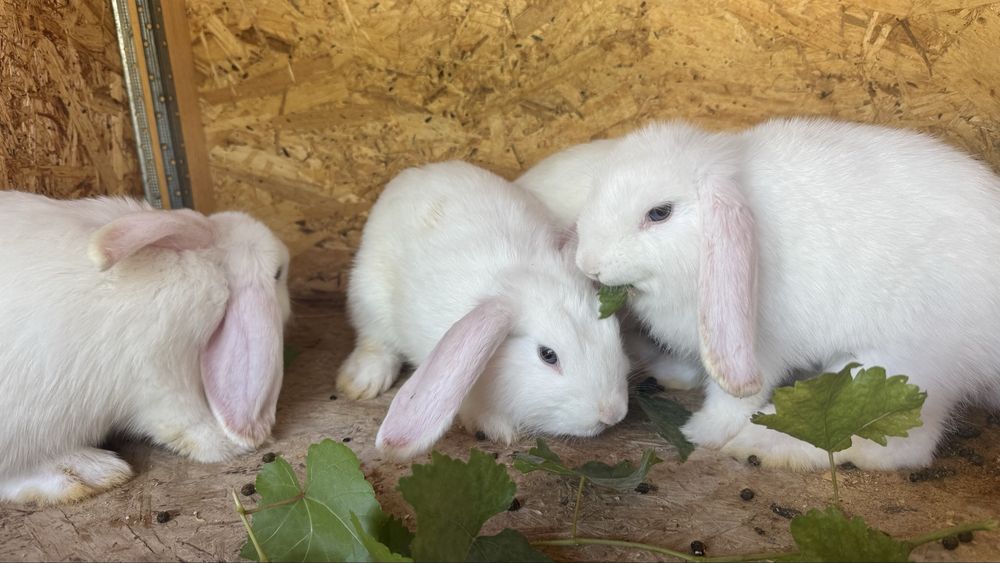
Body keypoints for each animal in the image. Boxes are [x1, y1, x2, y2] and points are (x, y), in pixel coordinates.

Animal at [0, 191, 291, 504]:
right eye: (278, 273)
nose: (287, 253)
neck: (208, 264)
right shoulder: (160, 379)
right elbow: (186, 424)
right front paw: (228, 444)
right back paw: (90, 473)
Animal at [336, 161, 630, 459]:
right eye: (547, 355)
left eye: (614, 332)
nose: (612, 414)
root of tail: (417, 173)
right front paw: (497, 428)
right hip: (368, 295)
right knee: (375, 341)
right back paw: (362, 382)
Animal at [573, 117, 1000, 470]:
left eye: (659, 213)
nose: (587, 263)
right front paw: (666, 370)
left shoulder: (756, 348)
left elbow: (734, 400)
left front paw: (702, 433)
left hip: (900, 364)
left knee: (895, 444)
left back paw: (762, 444)